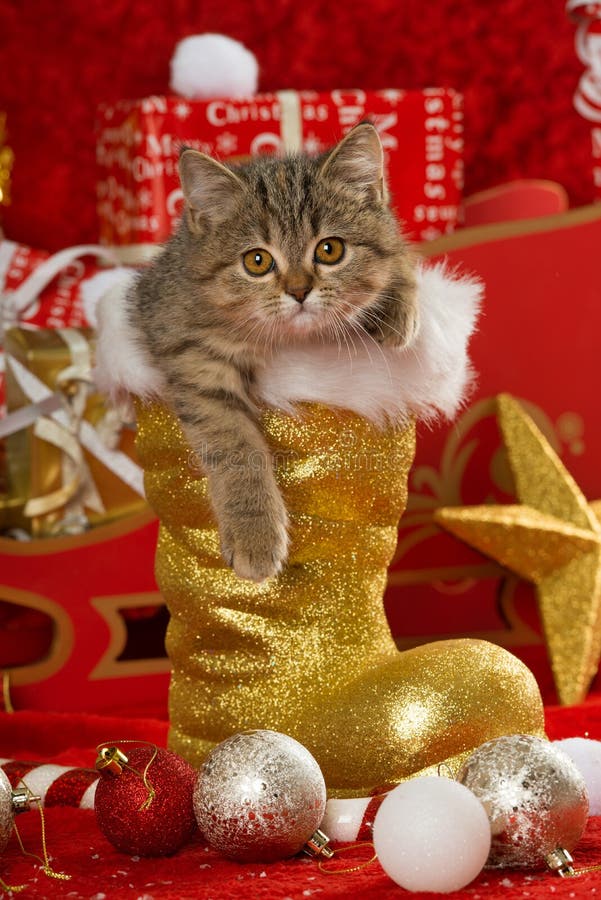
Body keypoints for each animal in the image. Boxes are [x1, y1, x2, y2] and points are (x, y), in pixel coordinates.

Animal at [129, 121, 414, 584]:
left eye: (330, 249)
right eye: (257, 261)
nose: (299, 291)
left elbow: (400, 256)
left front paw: (395, 308)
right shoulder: (193, 354)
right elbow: (234, 443)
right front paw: (255, 532)